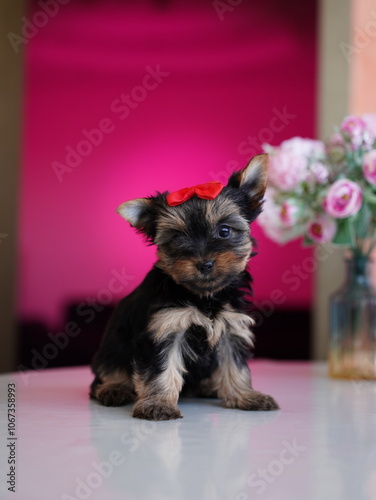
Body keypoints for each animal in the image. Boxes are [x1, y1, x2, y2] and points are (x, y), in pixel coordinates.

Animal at [90, 154, 280, 420]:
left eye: (224, 231)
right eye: (178, 239)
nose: (204, 263)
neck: (204, 296)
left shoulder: (231, 327)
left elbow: (235, 365)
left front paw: (245, 396)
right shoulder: (166, 327)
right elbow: (160, 369)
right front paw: (158, 405)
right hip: (113, 347)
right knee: (109, 370)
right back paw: (113, 389)